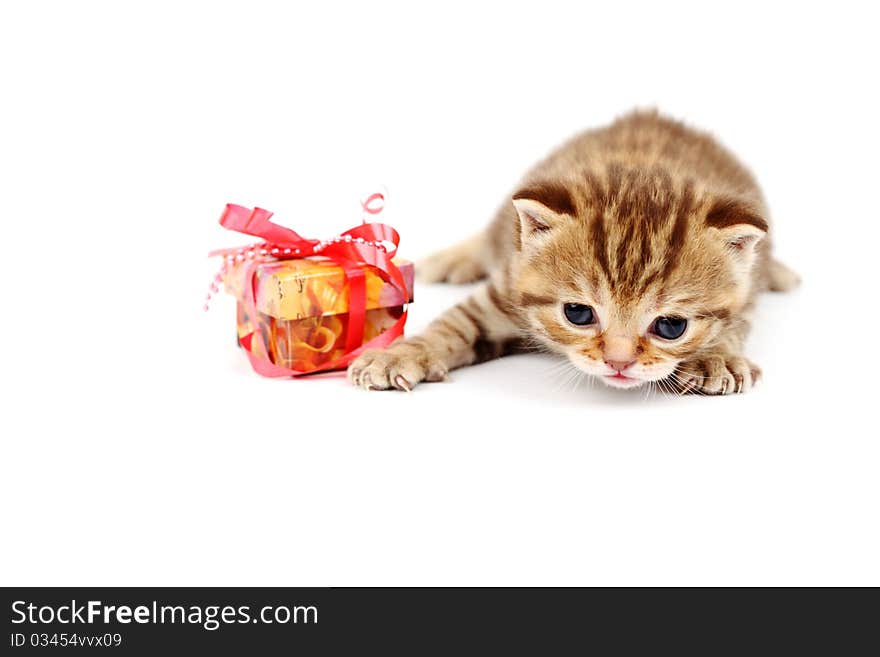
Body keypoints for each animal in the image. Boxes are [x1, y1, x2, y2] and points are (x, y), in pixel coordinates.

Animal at [348, 110, 796, 392]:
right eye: (578, 313)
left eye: (672, 326)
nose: (618, 362)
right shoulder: (506, 284)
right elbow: (452, 325)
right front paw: (397, 356)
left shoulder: (744, 295)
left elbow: (732, 326)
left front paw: (714, 358)